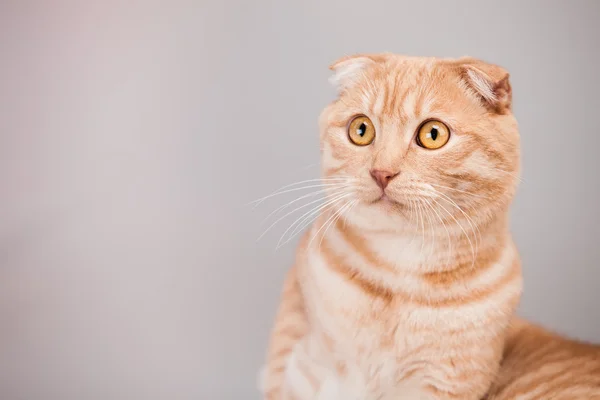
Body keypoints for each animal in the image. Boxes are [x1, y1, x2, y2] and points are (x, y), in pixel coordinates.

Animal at [258, 54, 600, 400]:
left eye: (433, 134)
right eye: (361, 129)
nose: (381, 172)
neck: (399, 269)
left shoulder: (440, 384)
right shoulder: (296, 370)